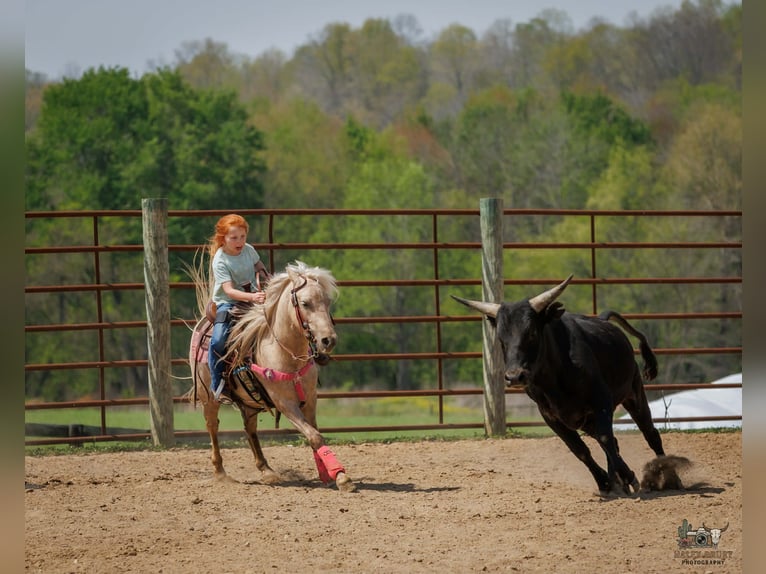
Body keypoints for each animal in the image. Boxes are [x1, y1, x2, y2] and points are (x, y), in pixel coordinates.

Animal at [187, 260, 355, 492]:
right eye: (305, 303)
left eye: (327, 301)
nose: (328, 340)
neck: (287, 353)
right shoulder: (285, 403)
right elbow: (314, 436)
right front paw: (341, 477)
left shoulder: (310, 399)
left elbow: (315, 434)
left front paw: (331, 474)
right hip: (208, 397)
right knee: (212, 426)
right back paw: (220, 472)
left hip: (249, 401)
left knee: (250, 428)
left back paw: (266, 469)